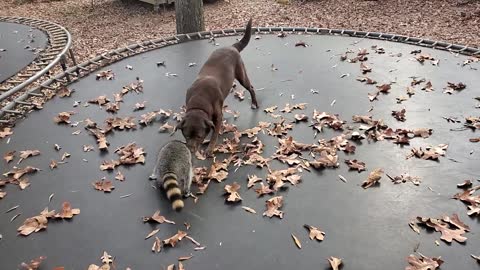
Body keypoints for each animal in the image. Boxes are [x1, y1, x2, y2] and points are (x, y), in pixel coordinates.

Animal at [177, 18, 258, 156]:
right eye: (186, 136)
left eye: (199, 136)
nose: (192, 151)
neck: (199, 100)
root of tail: (232, 47)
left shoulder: (217, 117)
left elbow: (214, 133)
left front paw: (210, 148)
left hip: (241, 75)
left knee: (251, 88)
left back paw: (254, 103)